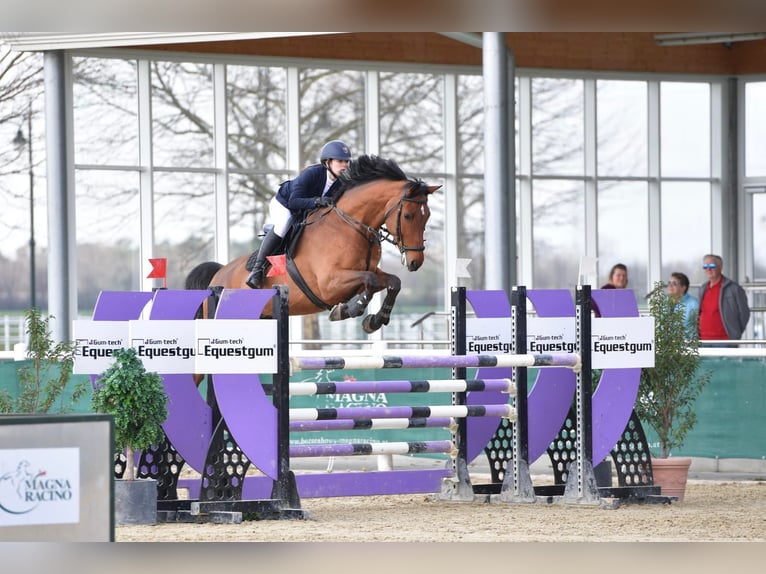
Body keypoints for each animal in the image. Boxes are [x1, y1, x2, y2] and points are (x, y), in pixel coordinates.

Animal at [186, 155, 440, 336]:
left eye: (427, 216)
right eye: (407, 216)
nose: (415, 262)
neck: (350, 225)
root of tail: (218, 274)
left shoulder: (365, 272)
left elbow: (392, 282)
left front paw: (375, 320)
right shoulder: (329, 284)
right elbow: (371, 281)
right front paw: (348, 310)